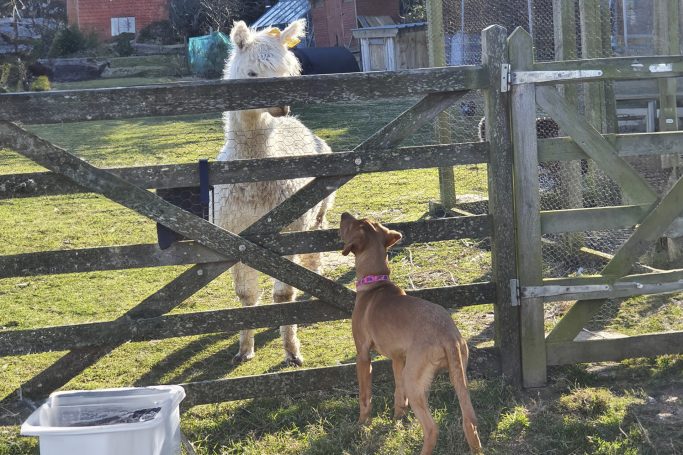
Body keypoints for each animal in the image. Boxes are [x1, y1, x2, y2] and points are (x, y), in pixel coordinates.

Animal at [340, 214, 480, 455]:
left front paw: (362, 424)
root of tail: (448, 335)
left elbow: (365, 396)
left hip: (415, 380)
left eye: (354, 223)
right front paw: (397, 418)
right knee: (469, 420)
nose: (343, 214)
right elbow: (398, 393)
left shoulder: (363, 355)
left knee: (432, 428)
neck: (375, 283)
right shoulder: (398, 359)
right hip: (458, 374)